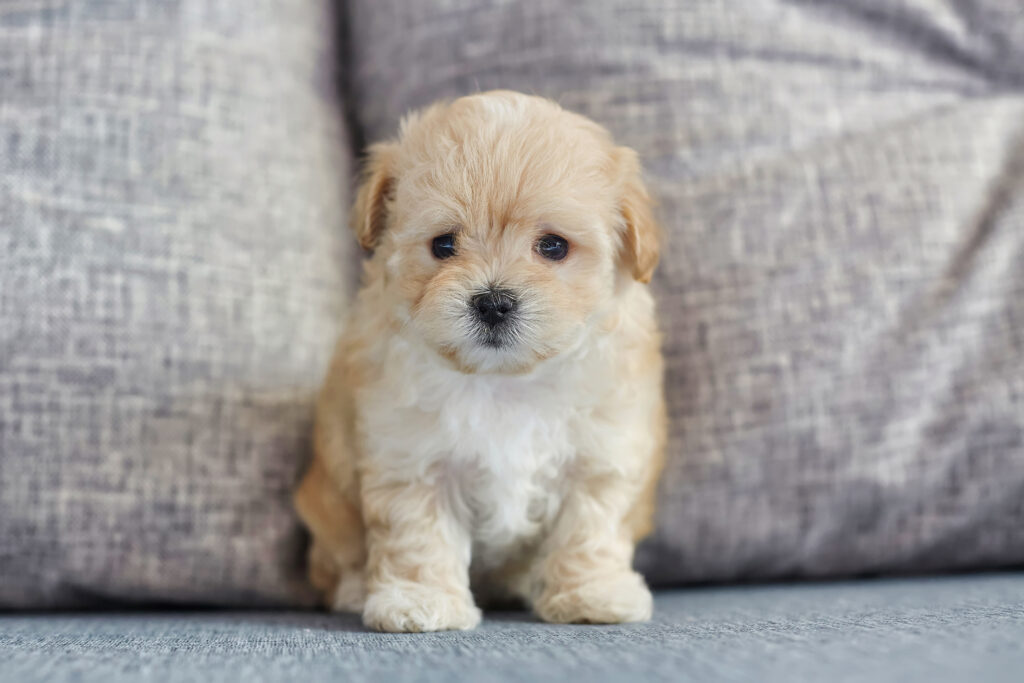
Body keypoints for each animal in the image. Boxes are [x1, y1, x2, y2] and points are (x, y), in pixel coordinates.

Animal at [294, 90, 663, 634]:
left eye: (553, 246)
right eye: (443, 245)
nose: (493, 302)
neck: (503, 379)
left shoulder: (600, 454)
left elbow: (589, 529)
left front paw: (591, 594)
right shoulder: (411, 457)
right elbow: (419, 534)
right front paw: (420, 600)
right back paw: (358, 589)